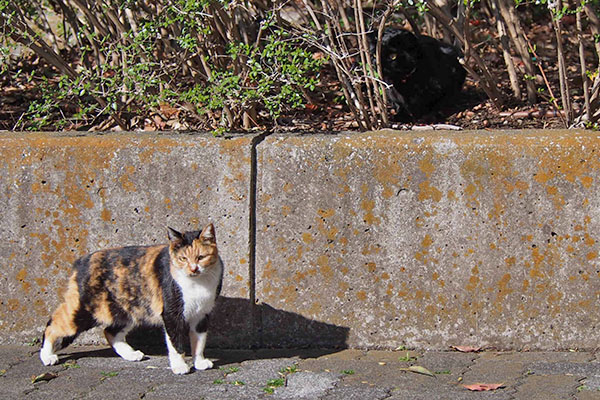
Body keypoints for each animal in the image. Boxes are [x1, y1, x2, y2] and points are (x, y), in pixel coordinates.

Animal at [39, 223, 223, 374]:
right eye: (183, 258)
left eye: (201, 257)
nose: (193, 269)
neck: (197, 283)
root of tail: (81, 261)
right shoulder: (172, 314)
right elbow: (175, 342)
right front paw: (179, 366)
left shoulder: (202, 315)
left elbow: (199, 341)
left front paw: (199, 362)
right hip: (85, 310)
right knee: (53, 326)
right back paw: (47, 356)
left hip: (126, 310)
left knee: (110, 332)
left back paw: (131, 354)